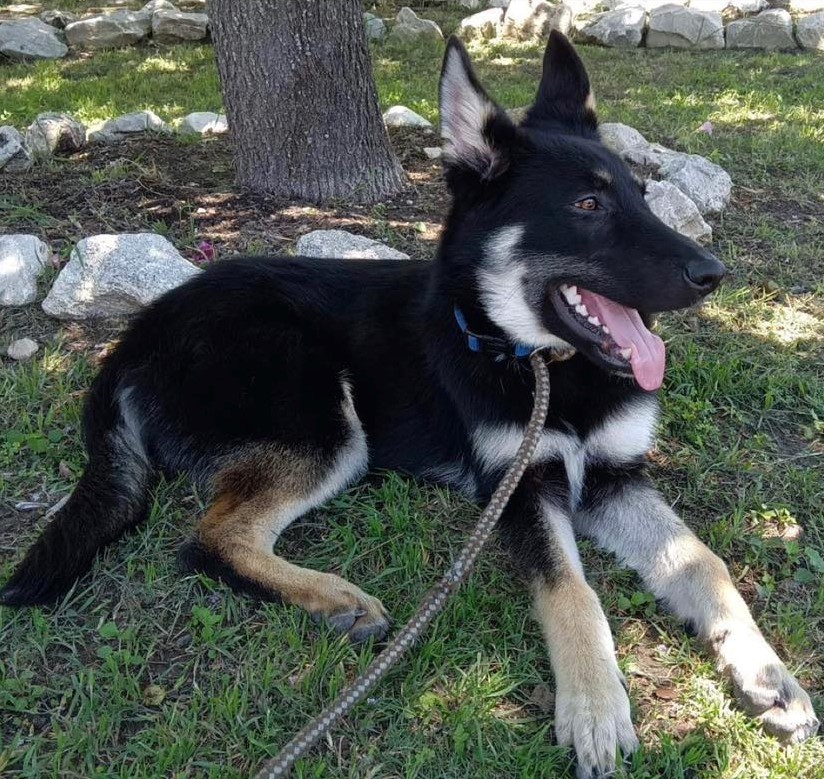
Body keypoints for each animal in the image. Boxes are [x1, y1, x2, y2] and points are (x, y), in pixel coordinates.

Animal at [3, 32, 816, 779]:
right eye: (587, 205)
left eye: (644, 197)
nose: (713, 273)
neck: (531, 360)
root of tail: (138, 334)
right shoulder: (522, 487)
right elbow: (573, 592)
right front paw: (594, 706)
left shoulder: (616, 477)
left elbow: (700, 559)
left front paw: (766, 673)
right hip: (326, 424)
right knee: (212, 539)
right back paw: (331, 595)